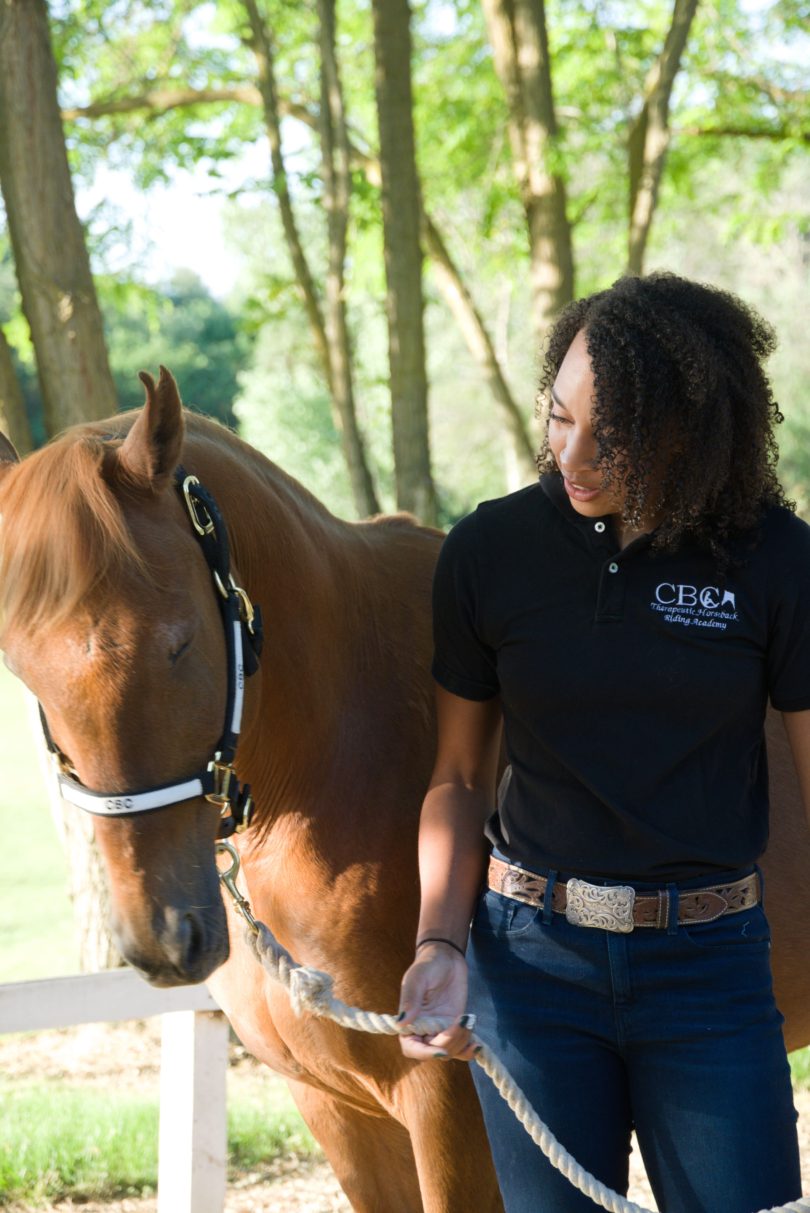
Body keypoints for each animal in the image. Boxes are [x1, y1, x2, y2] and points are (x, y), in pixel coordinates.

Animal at [0, 368, 808, 1213]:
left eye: (179, 642)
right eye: (21, 667)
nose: (161, 937)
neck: (337, 752)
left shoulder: (450, 1108)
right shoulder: (337, 1109)